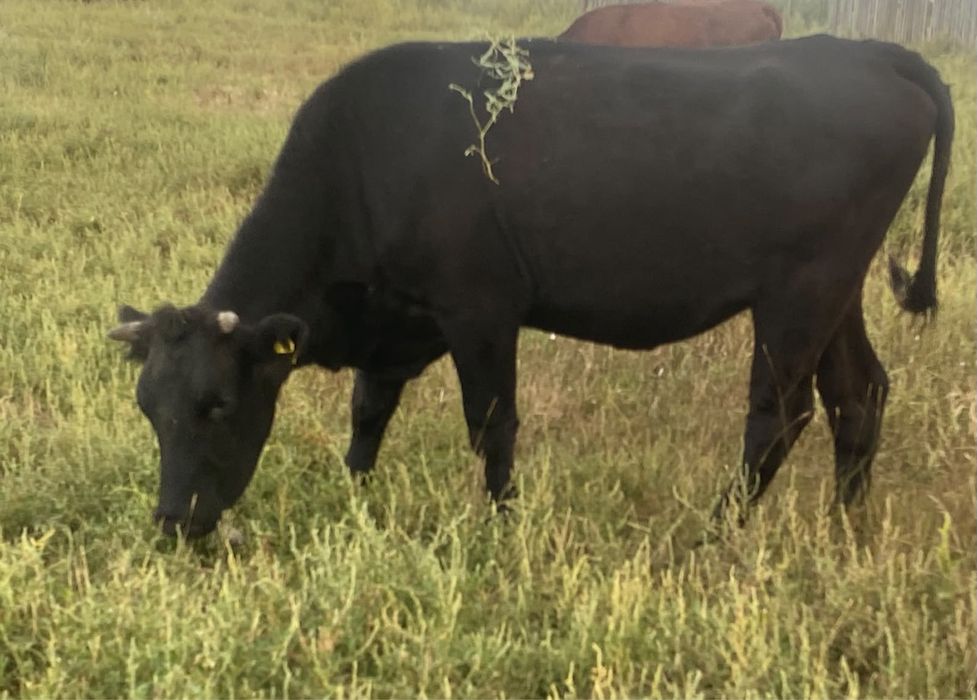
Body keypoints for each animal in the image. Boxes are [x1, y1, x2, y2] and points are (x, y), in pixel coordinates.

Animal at [109, 36, 953, 539]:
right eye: (148, 408)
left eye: (218, 404)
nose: (171, 522)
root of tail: (863, 52)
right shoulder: (398, 317)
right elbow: (368, 410)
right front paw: (354, 495)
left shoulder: (479, 308)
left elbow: (491, 424)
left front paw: (500, 524)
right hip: (837, 289)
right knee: (858, 394)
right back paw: (845, 528)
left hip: (798, 293)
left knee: (778, 414)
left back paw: (715, 533)